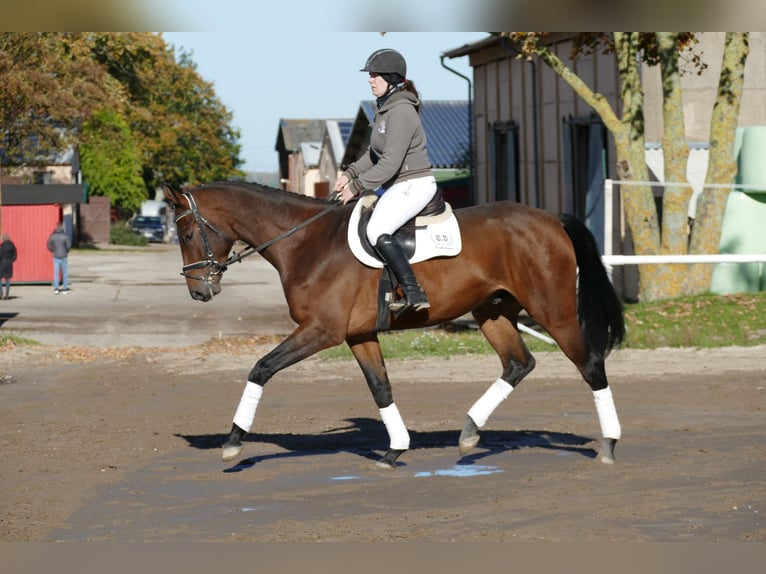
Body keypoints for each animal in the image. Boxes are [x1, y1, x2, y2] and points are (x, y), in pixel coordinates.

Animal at [164, 181, 625, 469]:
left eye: (185, 233)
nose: (199, 292)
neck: (306, 242)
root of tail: (549, 217)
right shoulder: (358, 335)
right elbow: (381, 388)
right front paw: (395, 450)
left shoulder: (322, 330)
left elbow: (261, 368)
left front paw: (232, 443)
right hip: (493, 312)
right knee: (518, 363)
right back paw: (469, 432)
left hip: (554, 312)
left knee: (591, 366)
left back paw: (609, 444)